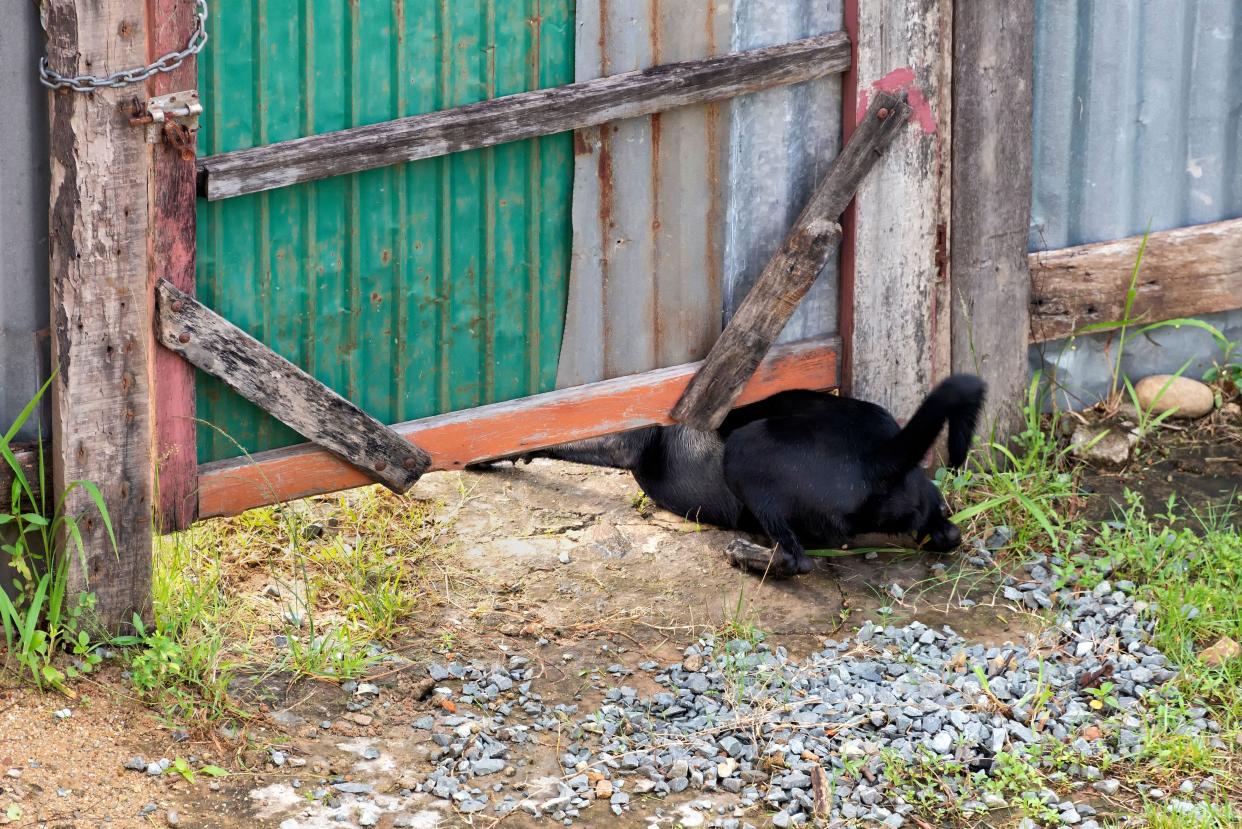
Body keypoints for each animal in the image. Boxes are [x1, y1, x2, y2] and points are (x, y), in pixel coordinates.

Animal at [471, 375, 978, 576]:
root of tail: (882, 456)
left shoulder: (625, 439)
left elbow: (547, 435)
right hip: (927, 499)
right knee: (948, 533)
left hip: (745, 453)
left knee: (795, 559)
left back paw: (748, 556)